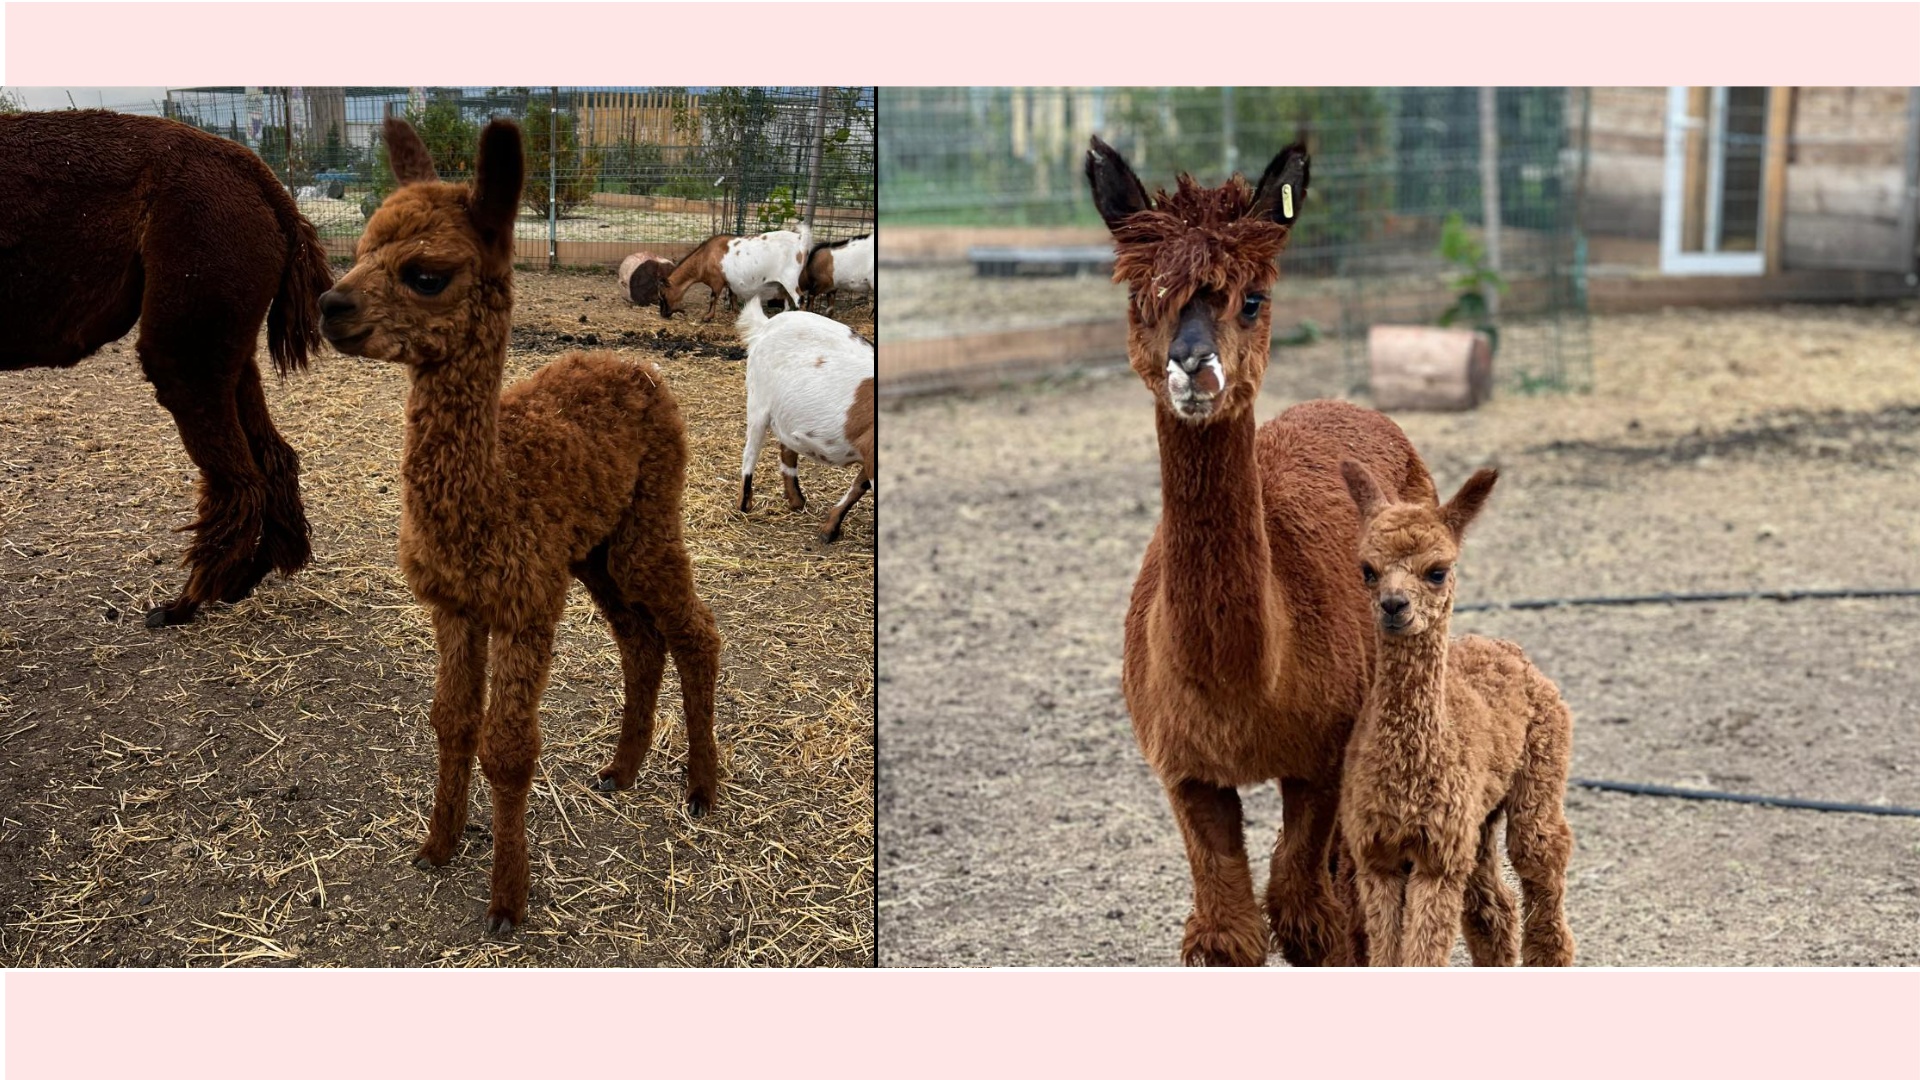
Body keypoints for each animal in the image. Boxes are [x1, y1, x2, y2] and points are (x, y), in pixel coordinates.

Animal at [0, 108, 330, 622]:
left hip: (192, 309)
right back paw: (244, 578)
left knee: (238, 479)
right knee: (274, 457)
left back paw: (185, 603)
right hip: (224, 336)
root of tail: (263, 180)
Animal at [322, 113, 721, 930]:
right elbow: (451, 721)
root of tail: (638, 369)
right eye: (359, 250)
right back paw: (620, 771)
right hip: (596, 549)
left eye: (425, 274)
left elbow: (506, 748)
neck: (493, 490)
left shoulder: (522, 605)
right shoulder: (455, 605)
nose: (327, 305)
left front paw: (507, 900)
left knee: (696, 633)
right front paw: (438, 845)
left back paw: (701, 789)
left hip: (647, 521)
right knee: (641, 642)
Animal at [733, 294, 879, 541]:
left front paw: (829, 530)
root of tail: (766, 326)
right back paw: (744, 505)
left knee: (787, 448)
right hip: (757, 400)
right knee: (750, 453)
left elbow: (858, 487)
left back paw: (797, 501)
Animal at [1090, 138, 1436, 960]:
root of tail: (1343, 403)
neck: (1240, 697)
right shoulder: (1184, 772)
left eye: (1251, 298)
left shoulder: (1322, 757)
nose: (1192, 364)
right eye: (1142, 297)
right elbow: (1229, 927)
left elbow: (1310, 914)